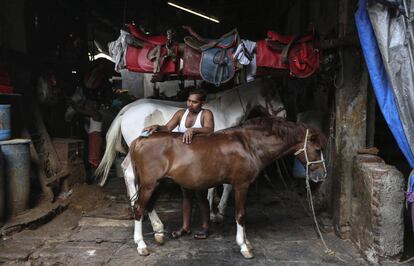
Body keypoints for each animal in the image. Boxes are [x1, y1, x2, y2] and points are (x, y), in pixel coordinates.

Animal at [95, 78, 286, 250]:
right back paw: (155, 225)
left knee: (127, 172)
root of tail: (126, 110)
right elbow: (221, 187)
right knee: (130, 174)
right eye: (273, 92)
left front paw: (216, 210)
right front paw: (216, 212)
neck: (224, 113)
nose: (284, 115)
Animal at [129, 116, 326, 258]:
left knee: (148, 206)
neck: (249, 145)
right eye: (317, 149)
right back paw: (141, 245)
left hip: (157, 183)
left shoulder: (243, 186)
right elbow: (241, 215)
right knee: (139, 208)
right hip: (149, 184)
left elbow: (242, 214)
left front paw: (247, 242)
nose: (321, 175)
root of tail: (139, 140)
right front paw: (243, 246)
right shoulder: (241, 185)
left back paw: (159, 233)